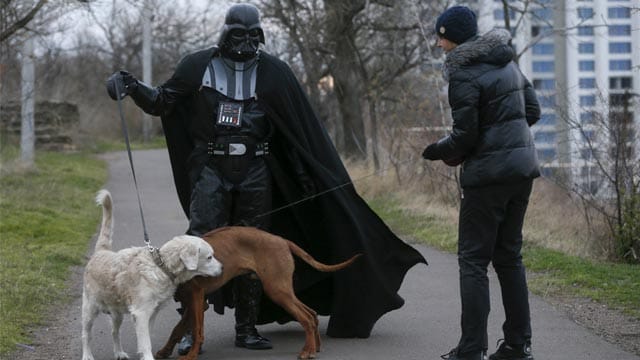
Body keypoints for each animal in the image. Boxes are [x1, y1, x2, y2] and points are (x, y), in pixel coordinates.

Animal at [81, 190, 224, 358]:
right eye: (209, 257)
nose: (222, 268)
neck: (160, 266)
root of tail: (100, 252)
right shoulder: (142, 313)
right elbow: (146, 342)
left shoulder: (152, 314)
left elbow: (146, 338)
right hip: (89, 310)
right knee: (86, 335)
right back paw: (87, 355)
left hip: (116, 313)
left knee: (114, 332)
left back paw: (119, 353)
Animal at [154, 226, 360, 358]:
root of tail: (282, 240)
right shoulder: (195, 302)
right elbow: (177, 328)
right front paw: (165, 351)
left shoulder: (197, 298)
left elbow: (197, 330)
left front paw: (191, 355)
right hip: (283, 289)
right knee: (312, 313)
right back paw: (315, 347)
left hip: (277, 289)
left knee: (306, 317)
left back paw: (307, 350)